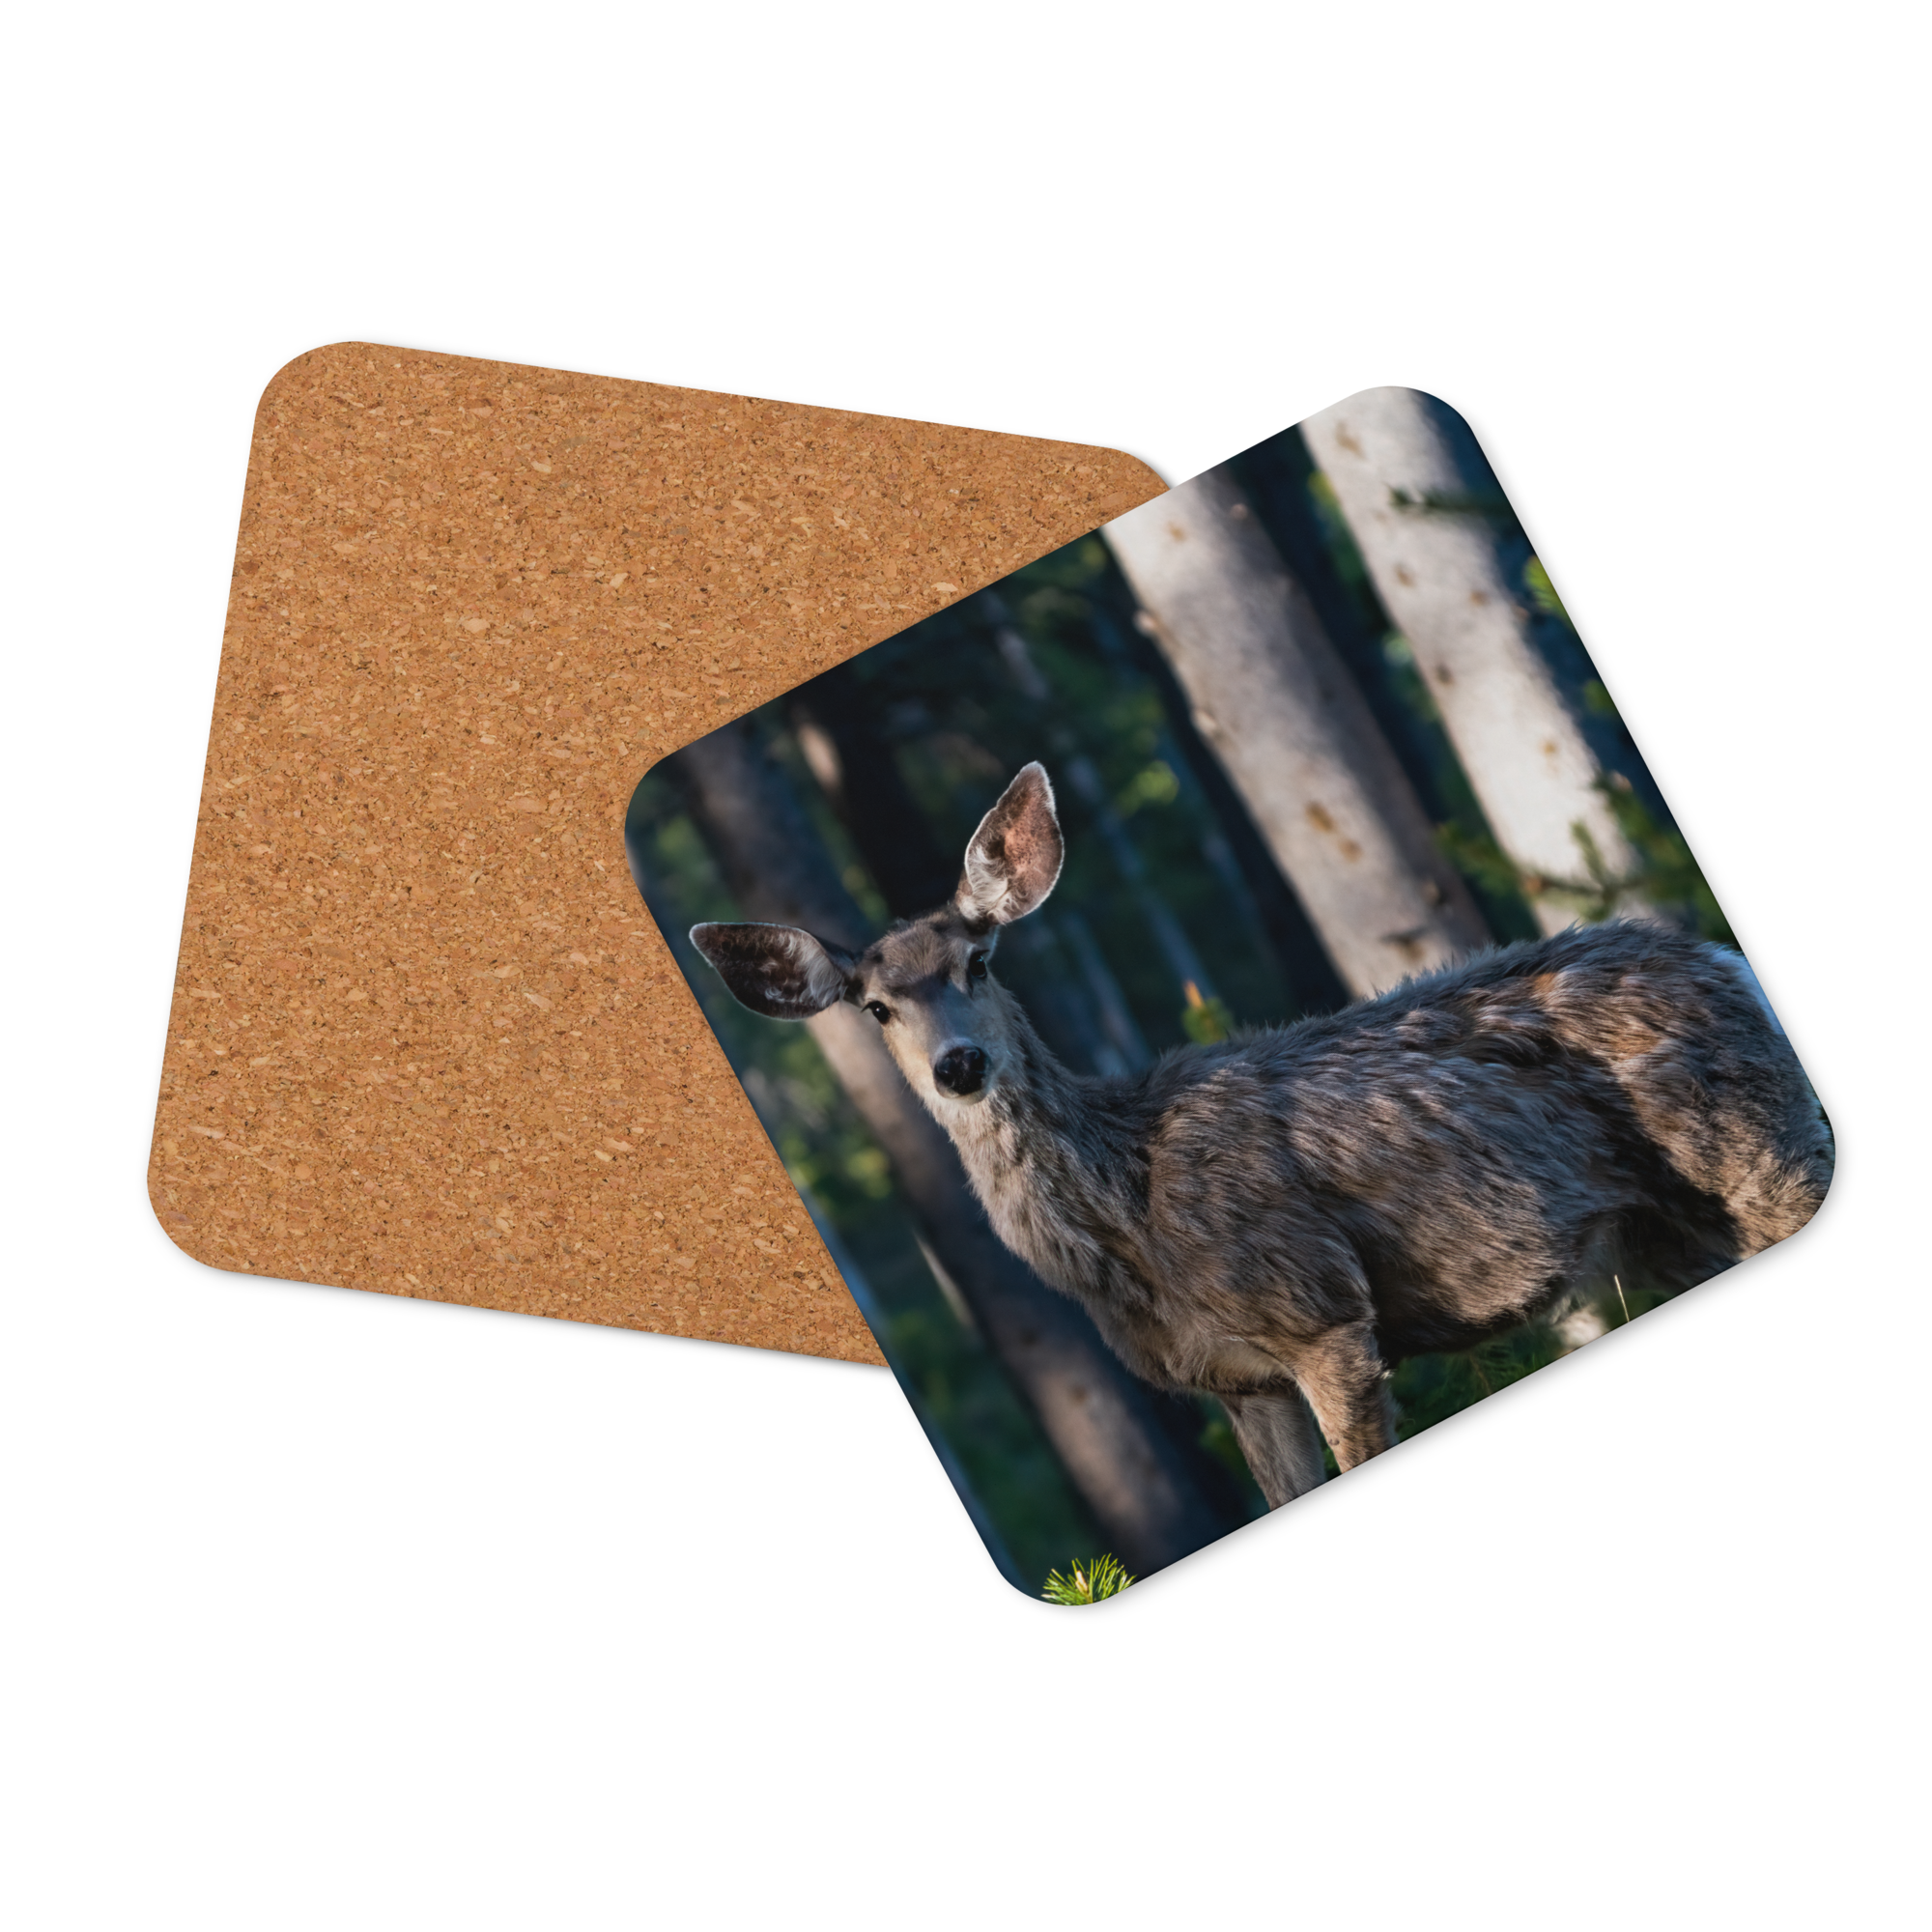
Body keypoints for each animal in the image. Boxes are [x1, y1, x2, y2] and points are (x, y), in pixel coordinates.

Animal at [690, 763, 1834, 1508]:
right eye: (877, 1007)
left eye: (977, 959)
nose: (959, 1065)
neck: (1134, 1224)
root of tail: (1719, 959)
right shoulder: (1233, 1382)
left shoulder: (1320, 1309)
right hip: (1663, 1228)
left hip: (1762, 1151)